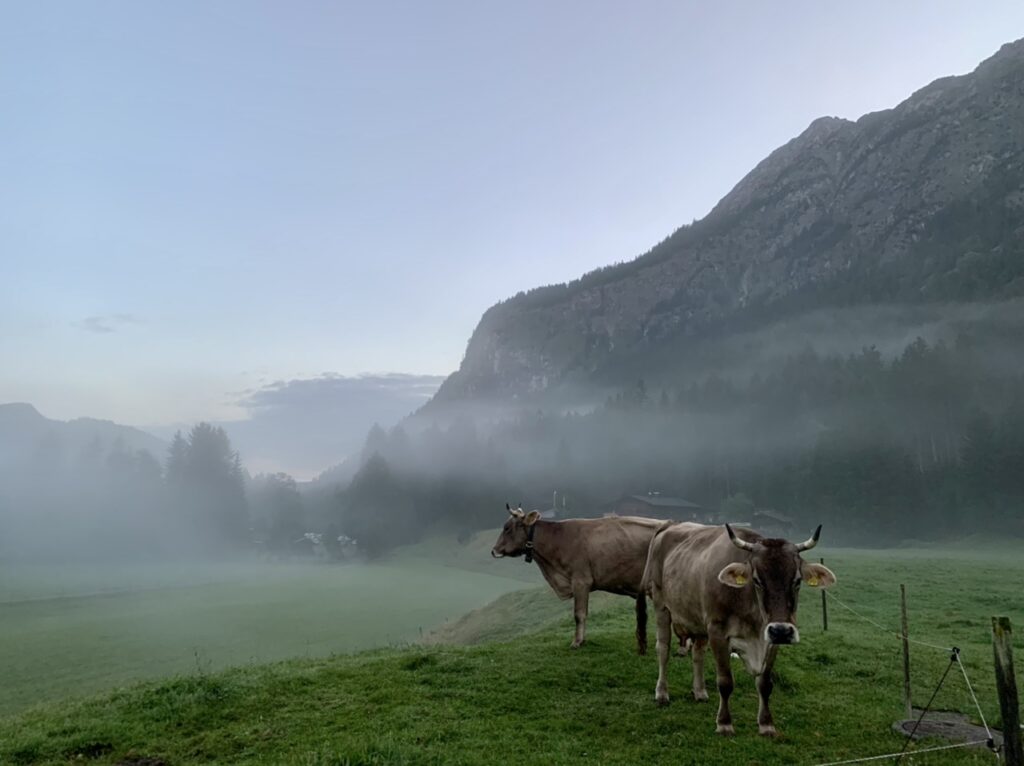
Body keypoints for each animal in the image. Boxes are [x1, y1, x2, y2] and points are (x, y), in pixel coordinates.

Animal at [642, 521, 836, 736]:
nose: (781, 631)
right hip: (661, 605)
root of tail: (669, 525)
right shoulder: (717, 632)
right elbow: (725, 682)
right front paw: (724, 723)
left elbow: (765, 683)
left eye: (797, 580)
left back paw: (700, 691)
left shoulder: (770, 638)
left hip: (698, 620)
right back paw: (662, 693)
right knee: (663, 649)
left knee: (698, 653)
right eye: (757, 580)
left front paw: (766, 724)